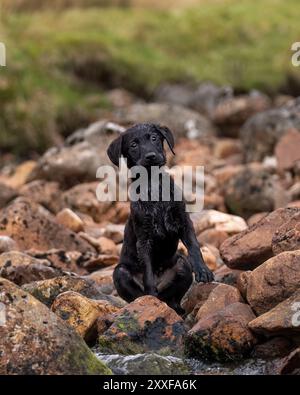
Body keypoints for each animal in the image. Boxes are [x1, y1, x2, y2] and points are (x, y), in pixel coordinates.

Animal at [107, 122, 213, 314]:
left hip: (182, 264)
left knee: (173, 297)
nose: (151, 156)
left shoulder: (184, 223)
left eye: (154, 138)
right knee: (136, 292)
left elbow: (194, 247)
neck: (154, 185)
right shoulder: (144, 239)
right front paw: (150, 298)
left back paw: (176, 308)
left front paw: (203, 270)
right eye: (133, 145)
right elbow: (148, 272)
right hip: (120, 272)